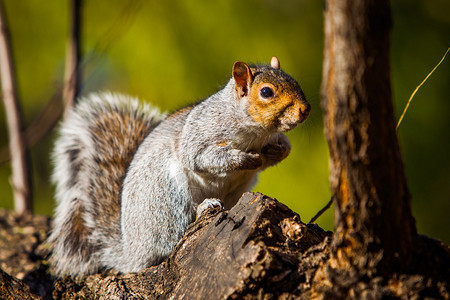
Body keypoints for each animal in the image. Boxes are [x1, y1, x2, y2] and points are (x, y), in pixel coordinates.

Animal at [48, 56, 310, 276]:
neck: (254, 131)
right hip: (165, 194)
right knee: (174, 234)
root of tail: (132, 252)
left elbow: (285, 147)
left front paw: (276, 151)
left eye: (294, 81)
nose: (305, 110)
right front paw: (246, 159)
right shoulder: (199, 136)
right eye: (266, 92)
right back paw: (204, 207)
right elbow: (201, 157)